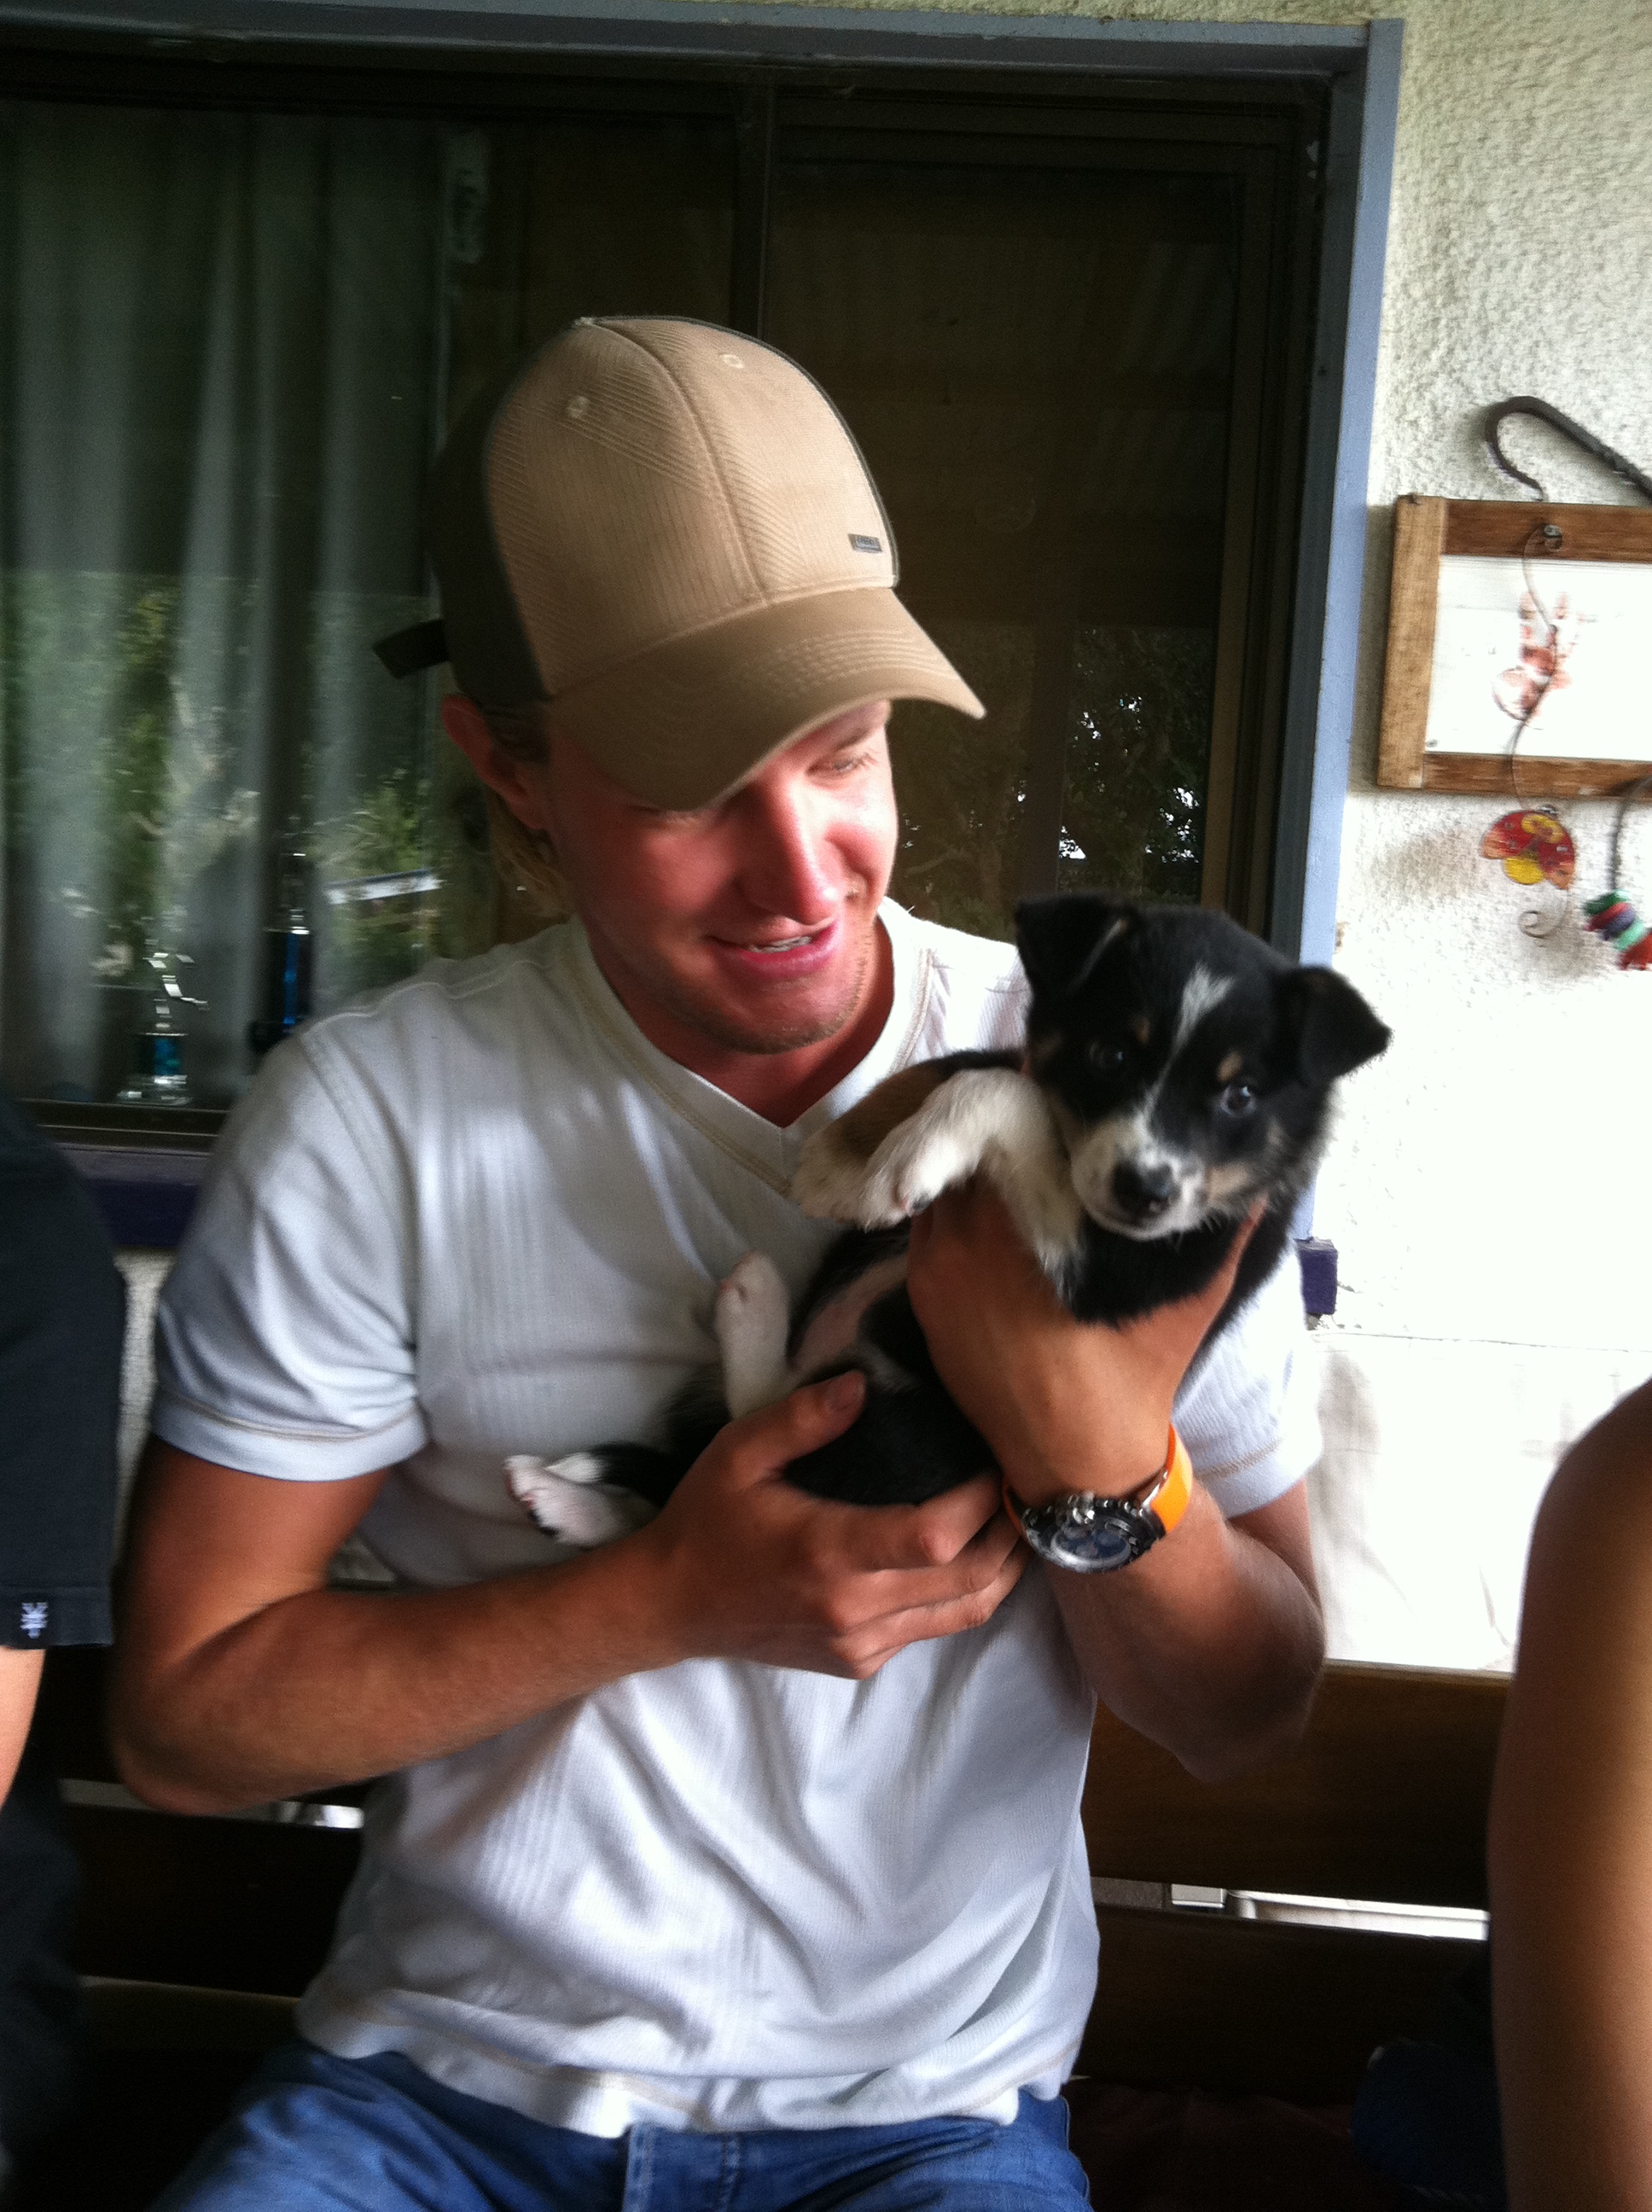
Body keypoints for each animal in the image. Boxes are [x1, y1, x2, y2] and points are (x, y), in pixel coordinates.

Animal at [507, 895, 1389, 1543]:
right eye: (1110, 1055)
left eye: (1240, 1096)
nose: (1144, 1191)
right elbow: (970, 1066)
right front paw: (842, 1159)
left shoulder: (1120, 1276)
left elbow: (1005, 1093)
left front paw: (902, 1165)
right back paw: (569, 1494)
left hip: (913, 1425)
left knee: (761, 1423)